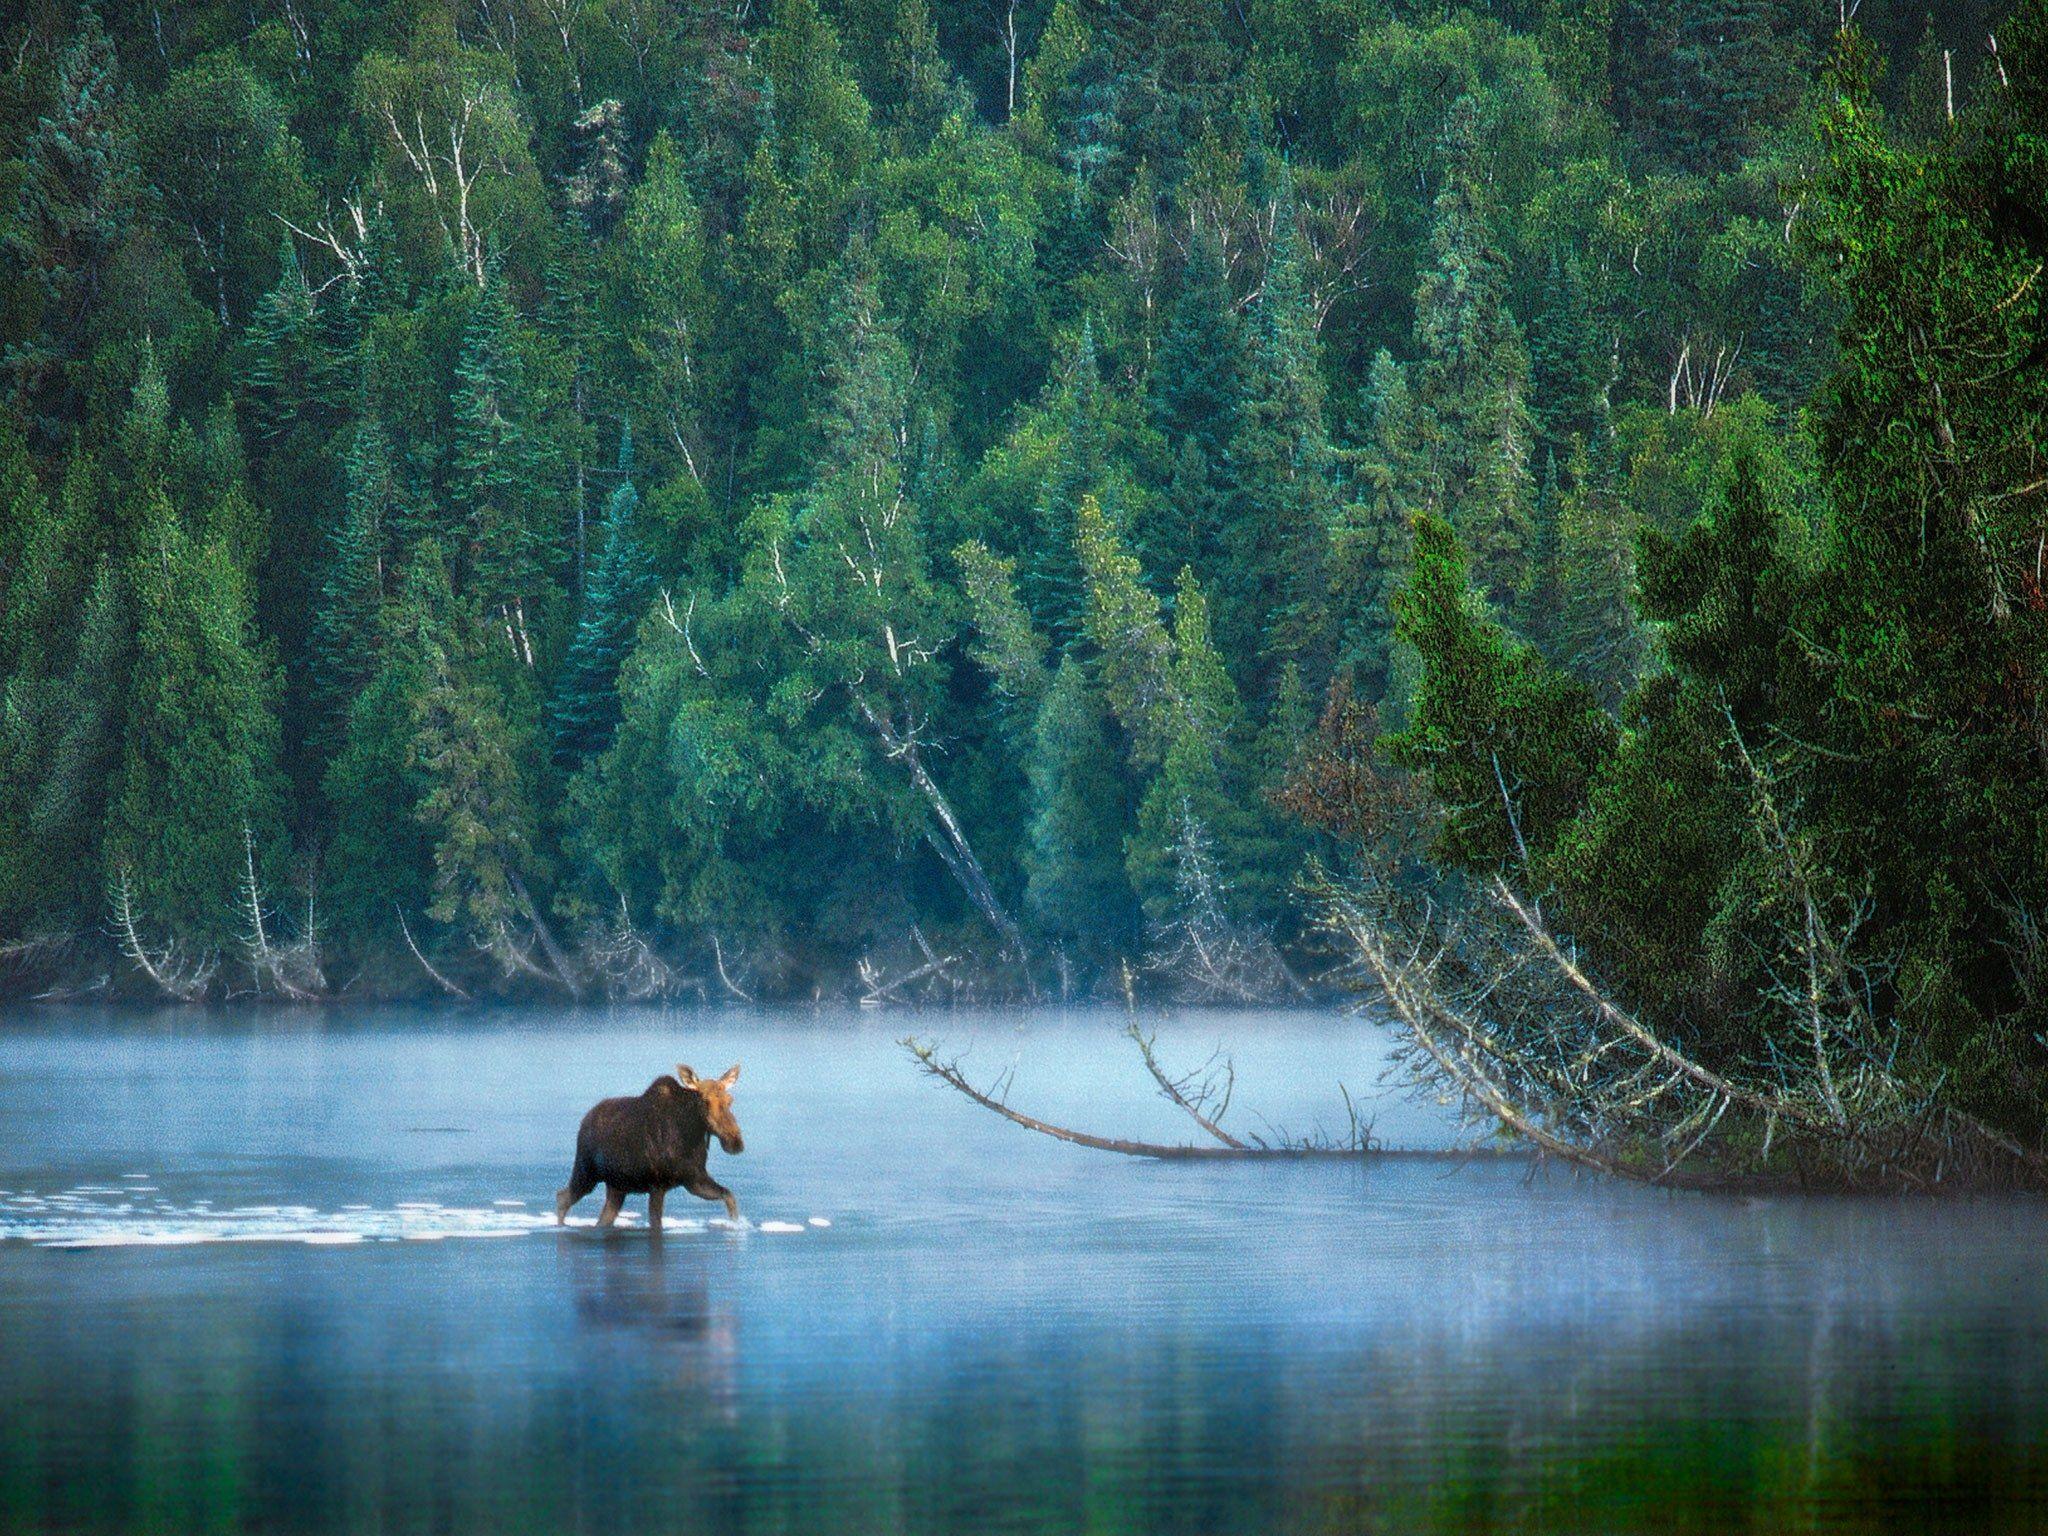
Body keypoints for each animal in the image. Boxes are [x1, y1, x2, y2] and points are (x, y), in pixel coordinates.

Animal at [557, 1064, 749, 1236]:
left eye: (730, 1100)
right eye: (704, 1101)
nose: (735, 1142)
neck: (689, 1136)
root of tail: (585, 1119)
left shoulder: (694, 1179)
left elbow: (729, 1196)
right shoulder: (657, 1185)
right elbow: (656, 1224)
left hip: (617, 1186)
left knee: (603, 1218)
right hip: (586, 1171)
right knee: (562, 1197)